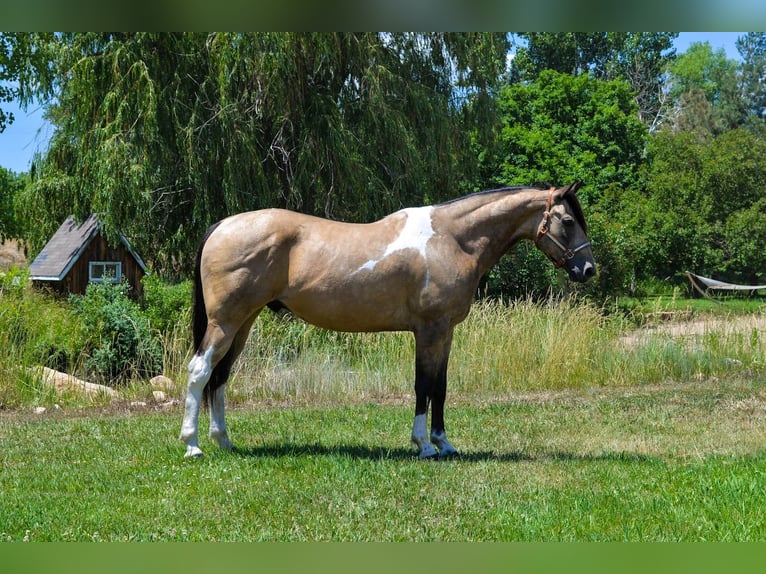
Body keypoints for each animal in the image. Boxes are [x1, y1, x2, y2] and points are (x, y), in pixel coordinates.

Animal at [182, 182, 600, 462]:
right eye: (566, 221)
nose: (588, 269)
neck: (452, 239)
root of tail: (222, 225)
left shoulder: (446, 331)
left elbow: (440, 388)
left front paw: (445, 442)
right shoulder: (429, 329)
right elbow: (423, 386)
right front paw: (424, 445)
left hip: (243, 322)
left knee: (221, 376)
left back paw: (224, 441)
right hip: (225, 322)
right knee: (200, 371)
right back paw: (193, 445)